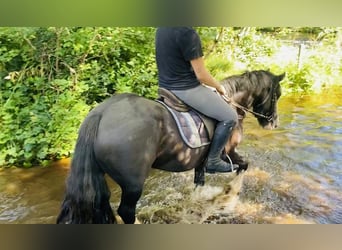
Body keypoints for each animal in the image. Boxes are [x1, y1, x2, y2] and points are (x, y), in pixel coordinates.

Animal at [56, 69, 286, 224]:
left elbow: (198, 186)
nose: (273, 123)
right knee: (126, 212)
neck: (231, 102)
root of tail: (101, 113)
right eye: (277, 94)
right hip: (133, 184)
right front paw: (230, 195)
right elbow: (244, 166)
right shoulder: (228, 152)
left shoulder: (201, 163)